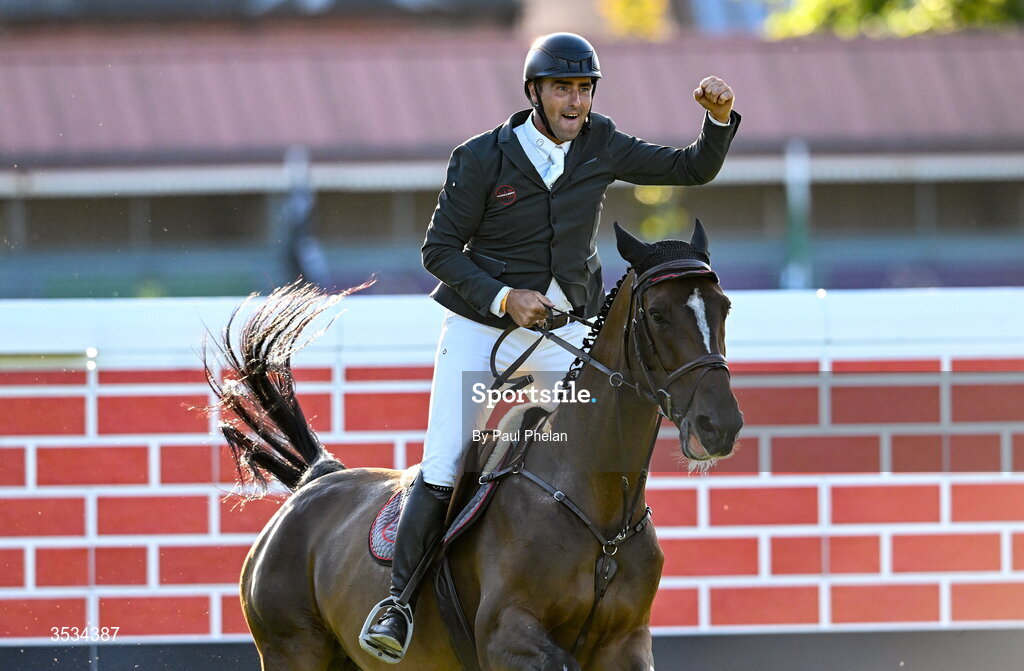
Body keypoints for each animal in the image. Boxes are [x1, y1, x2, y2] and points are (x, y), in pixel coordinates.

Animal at [205, 220, 743, 670]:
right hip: (294, 648)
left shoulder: (625, 643)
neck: (599, 507)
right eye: (657, 314)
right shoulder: (506, 635)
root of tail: (313, 484)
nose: (720, 426)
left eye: (724, 307)